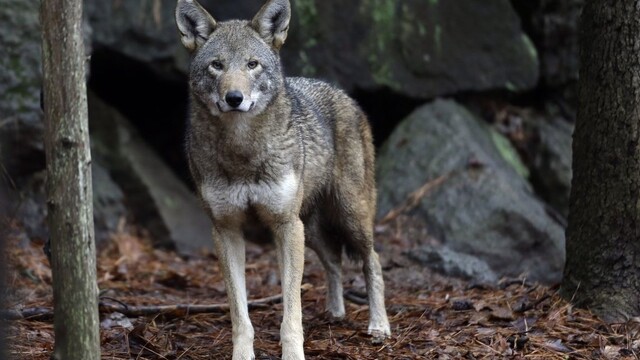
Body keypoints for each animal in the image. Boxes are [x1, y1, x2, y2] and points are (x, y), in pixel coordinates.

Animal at [175, 0, 390, 358]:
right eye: (217, 66)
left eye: (252, 65)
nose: (234, 98)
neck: (242, 152)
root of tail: (344, 94)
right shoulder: (226, 230)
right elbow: (240, 313)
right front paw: (242, 354)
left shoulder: (285, 225)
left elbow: (292, 310)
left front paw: (292, 353)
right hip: (311, 230)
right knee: (334, 263)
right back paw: (335, 313)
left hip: (348, 217)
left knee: (372, 261)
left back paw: (379, 325)